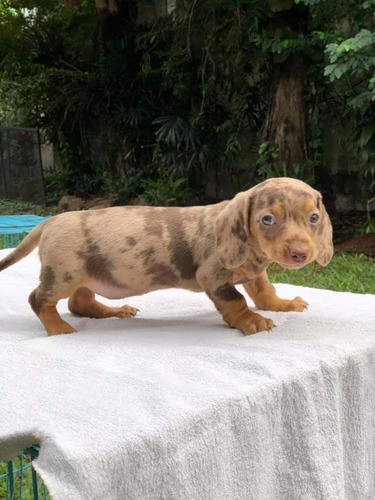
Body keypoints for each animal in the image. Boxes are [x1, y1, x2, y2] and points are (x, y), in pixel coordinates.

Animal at [0, 177, 334, 336]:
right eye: (267, 219)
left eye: (314, 218)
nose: (300, 253)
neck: (253, 253)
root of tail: (49, 222)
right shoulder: (213, 277)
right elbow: (236, 300)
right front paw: (252, 320)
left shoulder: (253, 271)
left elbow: (265, 291)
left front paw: (283, 304)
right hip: (63, 275)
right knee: (39, 299)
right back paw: (58, 329)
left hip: (88, 275)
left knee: (79, 303)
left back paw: (114, 311)